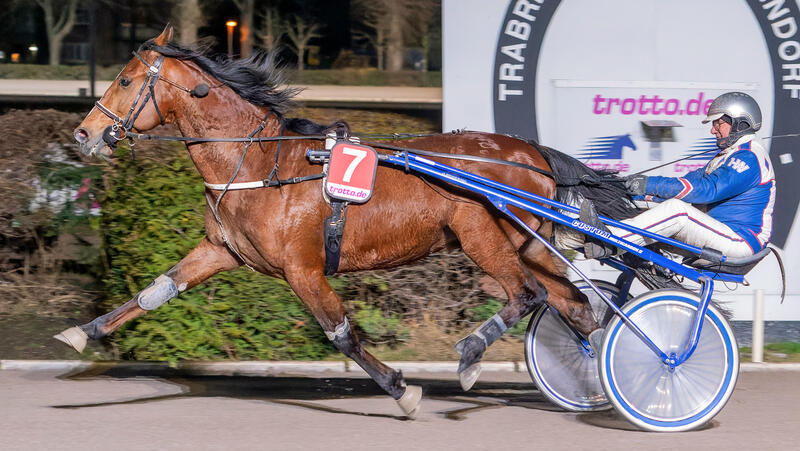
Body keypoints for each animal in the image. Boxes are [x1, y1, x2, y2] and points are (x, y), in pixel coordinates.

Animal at [56, 25, 636, 420]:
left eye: (125, 80)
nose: (84, 134)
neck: (260, 164)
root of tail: (530, 153)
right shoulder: (221, 250)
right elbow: (155, 292)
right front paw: (81, 333)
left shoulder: (302, 268)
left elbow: (341, 335)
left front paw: (404, 391)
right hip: (530, 244)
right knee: (577, 307)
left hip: (480, 235)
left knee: (527, 295)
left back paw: (472, 354)